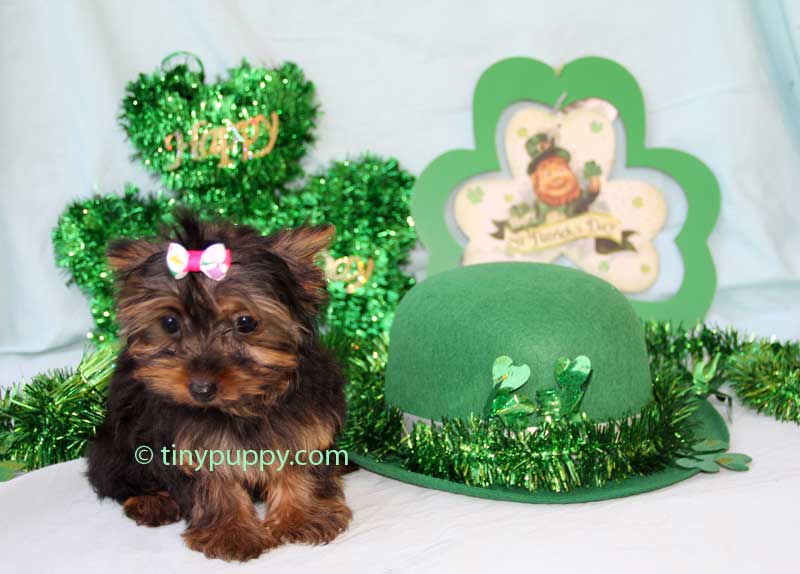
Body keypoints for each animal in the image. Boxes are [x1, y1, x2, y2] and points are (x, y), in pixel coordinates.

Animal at [86, 212, 352, 561]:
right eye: (170, 323)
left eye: (246, 322)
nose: (200, 389)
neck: (241, 405)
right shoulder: (185, 439)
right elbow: (214, 481)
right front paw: (232, 531)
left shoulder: (303, 419)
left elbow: (297, 461)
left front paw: (302, 516)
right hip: (114, 446)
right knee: (116, 477)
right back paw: (151, 500)